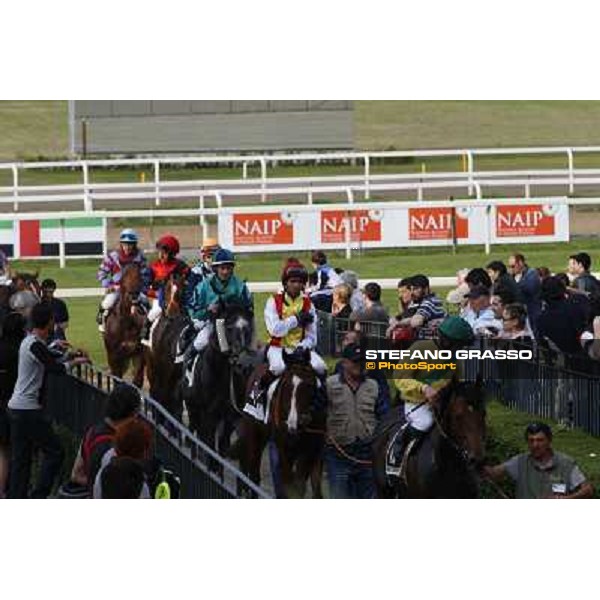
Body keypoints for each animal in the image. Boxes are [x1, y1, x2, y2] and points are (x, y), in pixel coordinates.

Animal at [144, 274, 189, 420]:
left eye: (182, 290)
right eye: (167, 289)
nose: (172, 312)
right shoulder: (165, 369)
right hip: (152, 367)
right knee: (155, 391)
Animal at [183, 300, 258, 460]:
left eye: (248, 328)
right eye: (228, 327)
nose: (243, 361)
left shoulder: (230, 415)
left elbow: (222, 447)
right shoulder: (209, 414)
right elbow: (209, 446)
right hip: (192, 405)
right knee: (193, 429)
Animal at [237, 354, 326, 500]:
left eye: (309, 386)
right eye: (286, 386)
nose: (294, 423)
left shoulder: (314, 449)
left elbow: (310, 488)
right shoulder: (284, 447)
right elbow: (290, 486)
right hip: (255, 433)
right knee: (254, 471)